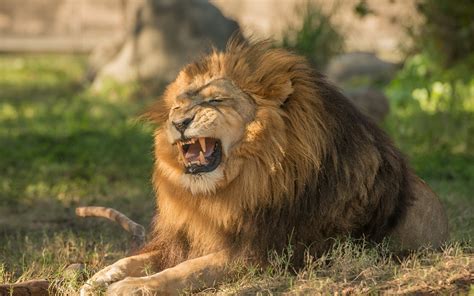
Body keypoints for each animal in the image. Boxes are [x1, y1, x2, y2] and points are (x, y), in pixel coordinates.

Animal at [80, 38, 448, 294]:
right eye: (178, 105)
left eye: (216, 100)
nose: (179, 122)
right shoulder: (189, 238)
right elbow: (138, 258)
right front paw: (98, 277)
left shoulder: (261, 251)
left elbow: (186, 271)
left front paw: (130, 287)